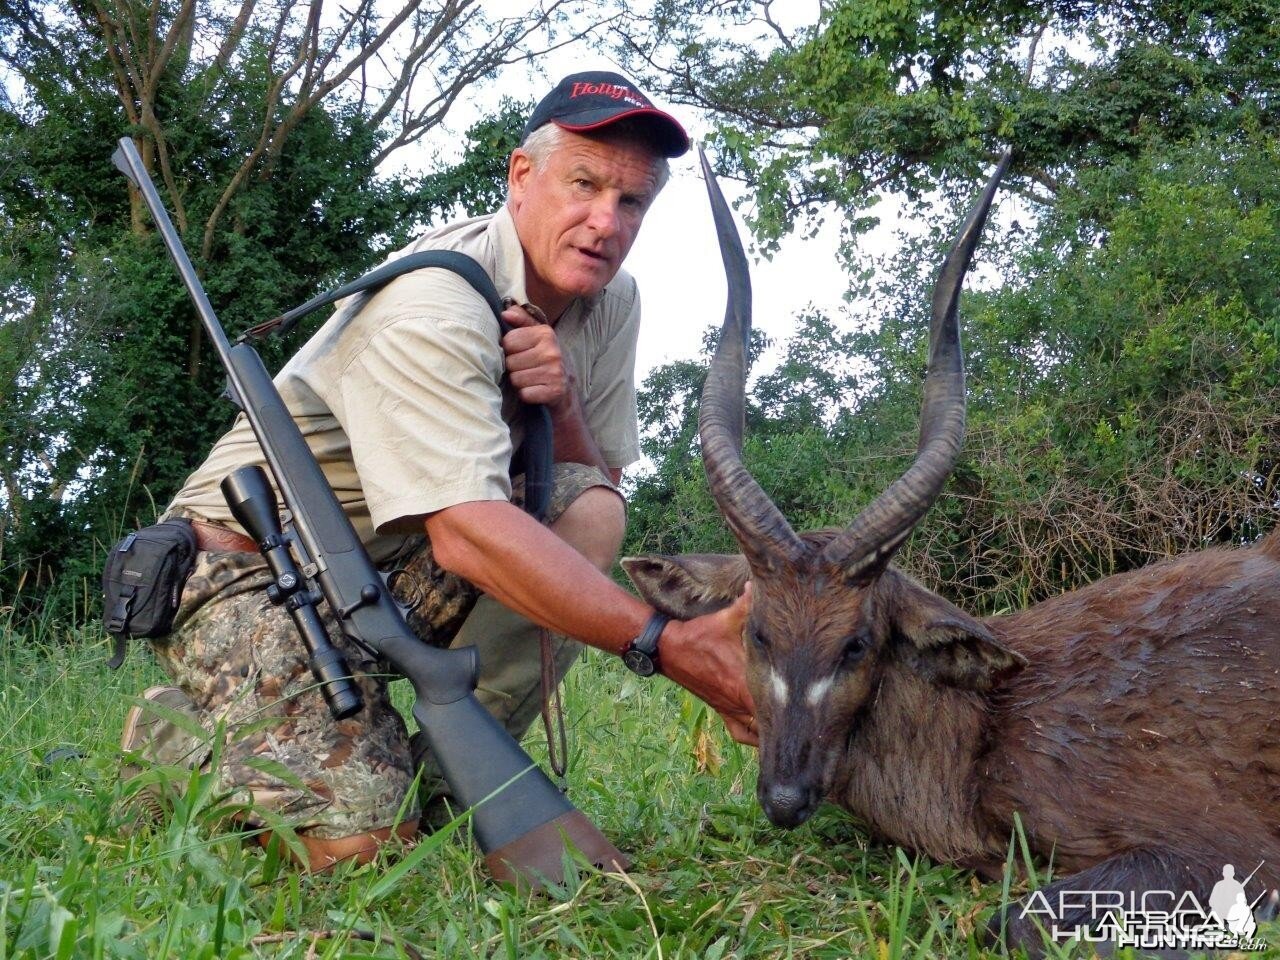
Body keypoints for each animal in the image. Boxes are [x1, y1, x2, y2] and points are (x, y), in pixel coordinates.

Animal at [627, 152, 1280, 957]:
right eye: (757, 632)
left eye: (857, 643)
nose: (783, 798)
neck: (987, 728)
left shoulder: (1228, 847)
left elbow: (1013, 919)